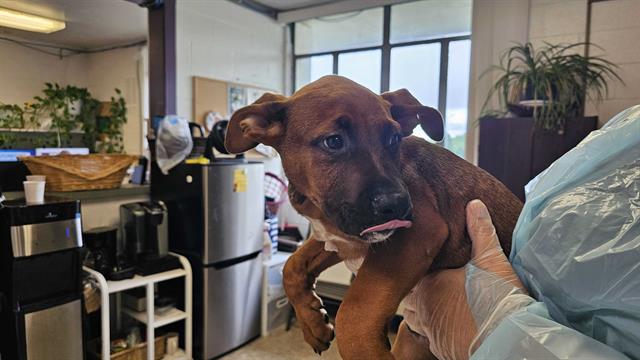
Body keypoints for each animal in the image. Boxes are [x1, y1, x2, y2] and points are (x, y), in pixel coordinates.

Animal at [225, 76, 520, 360]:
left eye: (394, 138)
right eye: (333, 141)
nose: (398, 205)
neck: (319, 209)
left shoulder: (418, 233)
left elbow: (354, 311)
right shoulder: (342, 238)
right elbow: (293, 265)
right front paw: (312, 322)